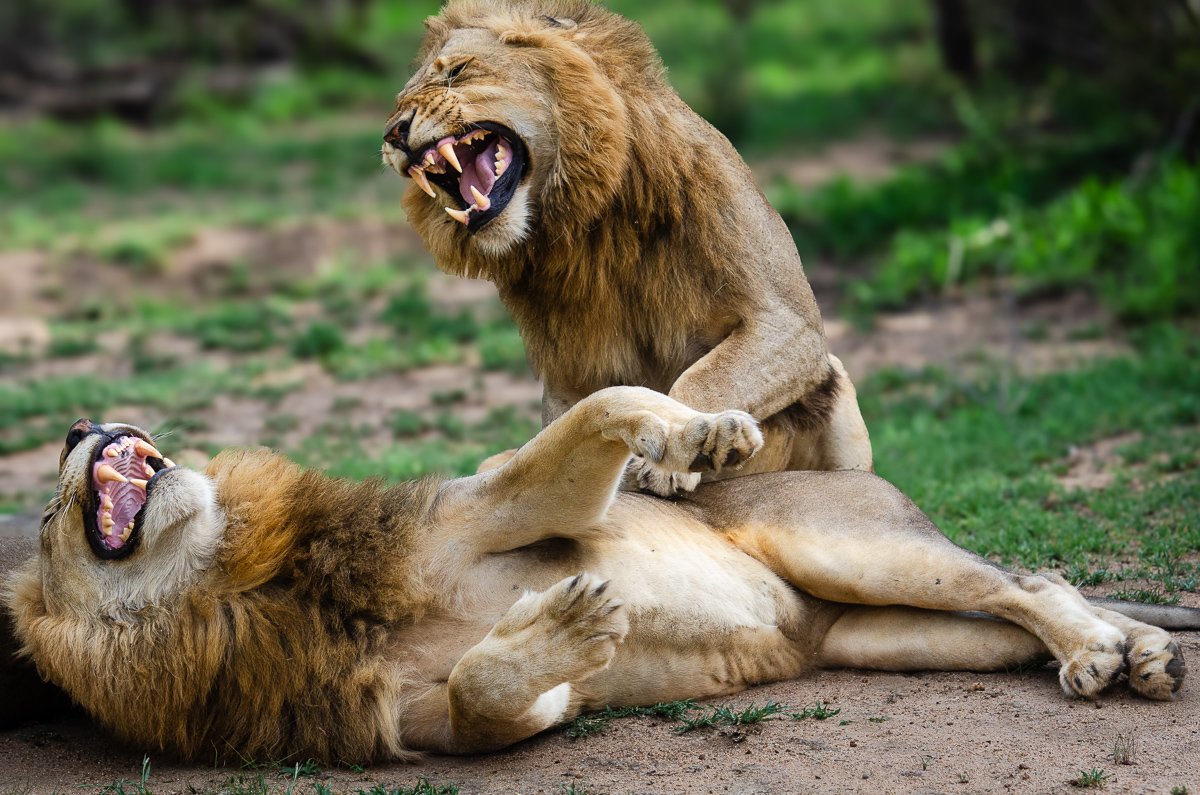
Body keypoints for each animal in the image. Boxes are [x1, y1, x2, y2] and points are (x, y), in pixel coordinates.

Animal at [6, 401, 1196, 762]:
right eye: (53, 517)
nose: (75, 426)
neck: (231, 588)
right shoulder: (412, 726)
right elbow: (485, 693)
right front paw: (569, 635)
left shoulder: (504, 505)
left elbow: (603, 410)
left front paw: (695, 434)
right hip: (880, 633)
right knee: (1018, 606)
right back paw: (1130, 651)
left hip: (857, 551)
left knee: (1026, 578)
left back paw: (1105, 652)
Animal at [380, 0, 872, 494]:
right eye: (398, 104)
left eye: (457, 71)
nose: (393, 135)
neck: (590, 217)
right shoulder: (568, 373)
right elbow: (590, 418)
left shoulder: (787, 323)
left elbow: (707, 375)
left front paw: (684, 450)